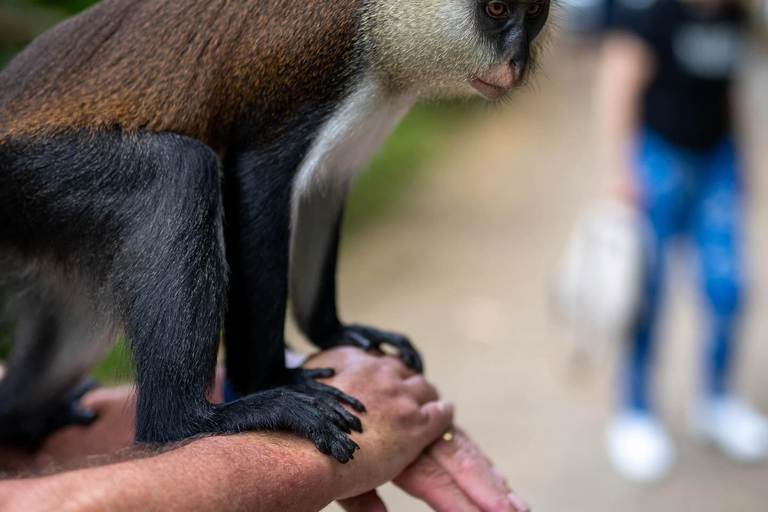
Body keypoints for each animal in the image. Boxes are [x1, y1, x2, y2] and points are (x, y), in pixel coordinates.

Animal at [0, 0, 552, 464]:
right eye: (496, 9)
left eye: (534, 12)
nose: (516, 63)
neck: (379, 25)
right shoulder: (316, 69)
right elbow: (255, 180)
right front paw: (272, 379)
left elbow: (324, 191)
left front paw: (334, 331)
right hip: (29, 177)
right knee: (177, 175)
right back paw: (190, 421)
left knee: (71, 341)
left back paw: (23, 419)